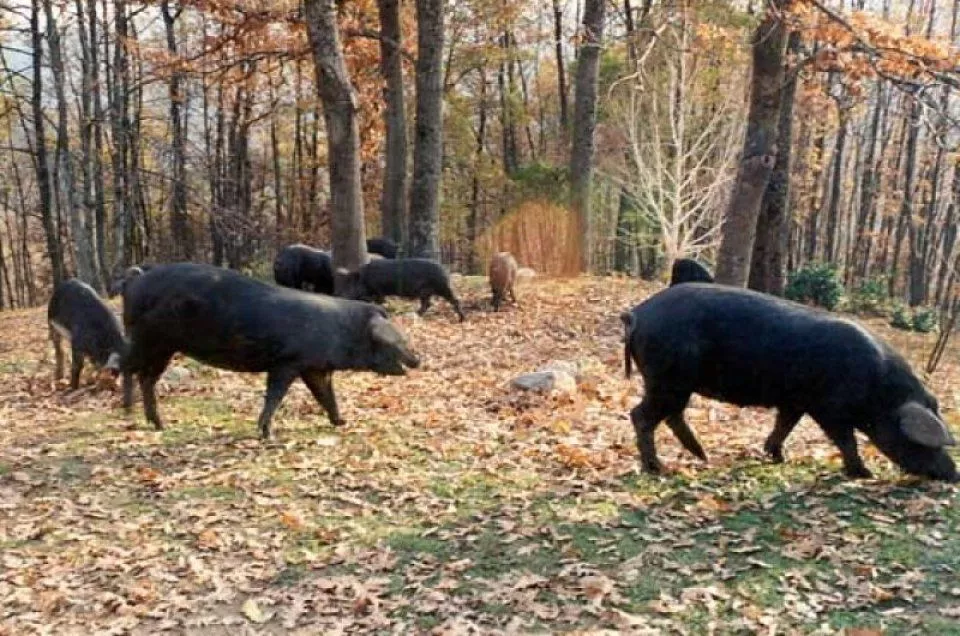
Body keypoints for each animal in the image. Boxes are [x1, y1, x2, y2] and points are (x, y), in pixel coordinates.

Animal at [121, 264, 420, 438]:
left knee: (146, 377)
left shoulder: (314, 367)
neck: (341, 332)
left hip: (162, 347)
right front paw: (267, 433)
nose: (418, 358)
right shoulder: (287, 363)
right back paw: (128, 412)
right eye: (399, 340)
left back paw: (158, 424)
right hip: (148, 339)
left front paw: (342, 422)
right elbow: (275, 395)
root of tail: (134, 282)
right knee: (127, 367)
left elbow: (325, 395)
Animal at [620, 284, 956, 482]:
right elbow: (845, 440)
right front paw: (864, 474)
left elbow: (784, 425)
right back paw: (657, 469)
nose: (955, 475)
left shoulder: (795, 401)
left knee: (671, 416)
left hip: (673, 384)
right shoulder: (829, 409)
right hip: (668, 379)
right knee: (641, 416)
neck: (880, 391)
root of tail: (637, 313)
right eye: (919, 441)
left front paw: (779, 458)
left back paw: (702, 456)